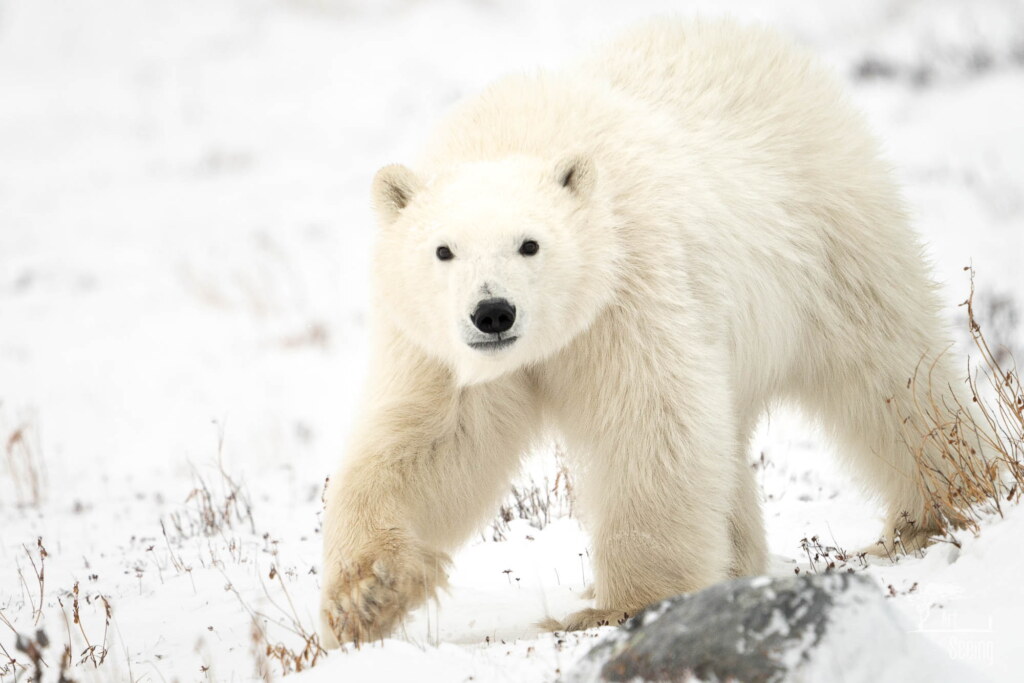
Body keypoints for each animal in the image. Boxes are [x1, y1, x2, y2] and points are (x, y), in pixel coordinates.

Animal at [319, 18, 969, 646]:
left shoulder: (630, 287)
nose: (494, 312)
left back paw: (937, 509)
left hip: (831, 238)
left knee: (891, 374)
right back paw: (740, 561)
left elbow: (650, 425)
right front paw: (364, 595)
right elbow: (432, 442)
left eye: (530, 243)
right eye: (443, 250)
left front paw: (626, 604)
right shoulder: (440, 349)